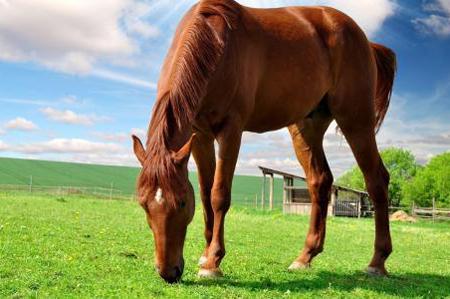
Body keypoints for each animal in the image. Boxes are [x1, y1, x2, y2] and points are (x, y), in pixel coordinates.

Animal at [132, 0, 396, 284]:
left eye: (181, 202)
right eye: (143, 204)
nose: (168, 272)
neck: (217, 45)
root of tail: (365, 41)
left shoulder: (231, 131)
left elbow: (218, 195)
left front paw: (213, 262)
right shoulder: (200, 135)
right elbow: (204, 195)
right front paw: (205, 254)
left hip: (356, 121)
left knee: (376, 180)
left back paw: (377, 262)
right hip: (307, 126)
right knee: (320, 181)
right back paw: (305, 256)